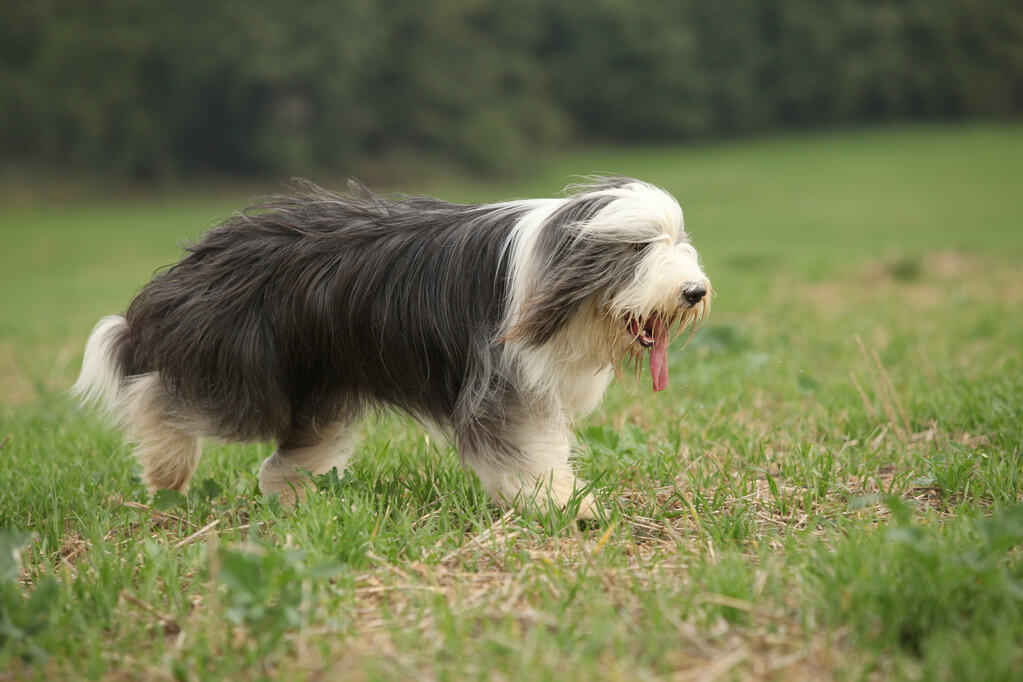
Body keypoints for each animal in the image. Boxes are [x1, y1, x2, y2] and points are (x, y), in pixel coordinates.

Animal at [72, 175, 712, 517]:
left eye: (678, 240)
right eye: (638, 248)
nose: (695, 291)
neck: (552, 263)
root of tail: (204, 254)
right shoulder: (498, 384)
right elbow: (526, 452)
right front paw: (572, 508)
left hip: (321, 377)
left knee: (291, 454)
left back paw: (297, 502)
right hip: (244, 369)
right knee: (160, 395)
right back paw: (167, 469)